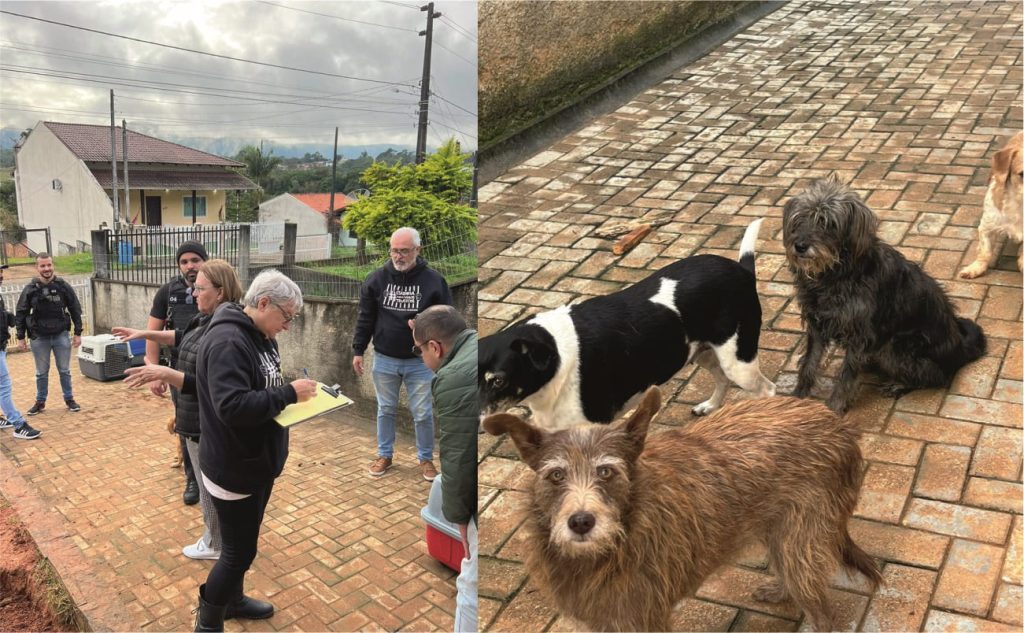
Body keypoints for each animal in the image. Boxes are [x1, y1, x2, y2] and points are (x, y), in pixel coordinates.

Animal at [192, 268, 315, 626]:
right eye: (287, 315)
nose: (286, 327)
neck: (249, 326)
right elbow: (237, 403)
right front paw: (298, 390)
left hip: (258, 494)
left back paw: (238, 607)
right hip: (235, 498)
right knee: (236, 560)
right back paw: (211, 617)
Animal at [481, 218, 774, 428]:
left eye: (498, 381)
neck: (557, 360)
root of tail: (742, 269)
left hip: (739, 361)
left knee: (767, 390)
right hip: (702, 353)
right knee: (722, 378)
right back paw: (710, 407)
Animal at [483, 387, 884, 626]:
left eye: (607, 471)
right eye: (555, 475)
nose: (581, 521)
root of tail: (839, 426)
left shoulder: (642, 616)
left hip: (802, 537)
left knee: (820, 611)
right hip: (783, 531)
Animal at [782, 177, 983, 413]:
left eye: (829, 223)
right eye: (799, 219)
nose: (800, 246)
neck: (834, 275)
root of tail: (961, 348)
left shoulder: (859, 335)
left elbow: (846, 376)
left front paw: (833, 409)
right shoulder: (817, 325)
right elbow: (809, 364)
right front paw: (797, 398)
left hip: (895, 346)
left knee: (937, 377)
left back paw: (899, 384)